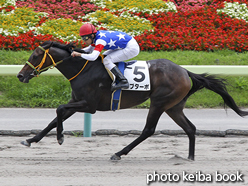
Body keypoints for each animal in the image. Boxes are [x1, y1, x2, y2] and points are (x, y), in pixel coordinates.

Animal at [16, 41, 247, 161]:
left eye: (35, 55)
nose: (20, 75)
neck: (83, 69)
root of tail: (184, 71)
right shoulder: (78, 102)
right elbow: (55, 118)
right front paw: (31, 140)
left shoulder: (89, 106)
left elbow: (58, 109)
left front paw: (60, 138)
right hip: (174, 107)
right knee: (190, 128)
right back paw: (190, 157)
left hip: (159, 103)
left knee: (148, 130)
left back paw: (119, 153)